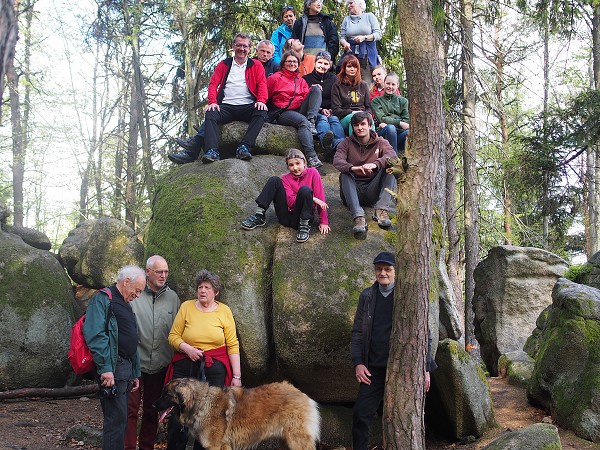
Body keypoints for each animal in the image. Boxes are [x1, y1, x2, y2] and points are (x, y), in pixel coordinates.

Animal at [157, 378, 322, 448]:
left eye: (166, 395)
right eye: (162, 393)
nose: (153, 405)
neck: (201, 402)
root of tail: (300, 393)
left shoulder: (215, 446)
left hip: (296, 440)